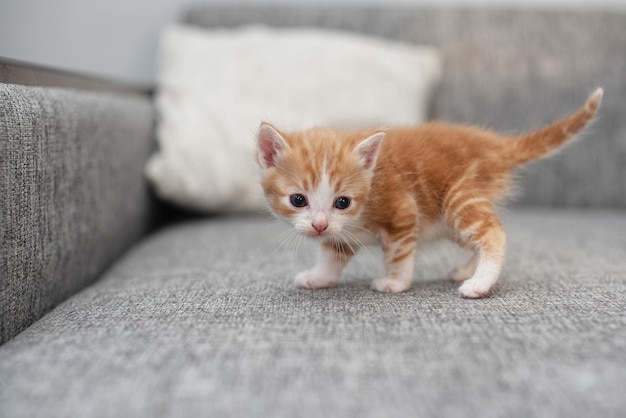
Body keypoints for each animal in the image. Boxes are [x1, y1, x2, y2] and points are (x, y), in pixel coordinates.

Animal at [254, 88, 600, 298]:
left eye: (343, 202)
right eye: (298, 200)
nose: (319, 225)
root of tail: (495, 144)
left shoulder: (403, 212)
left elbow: (399, 254)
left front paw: (394, 282)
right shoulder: (343, 233)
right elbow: (331, 253)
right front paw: (320, 276)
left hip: (457, 198)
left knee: (493, 232)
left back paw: (479, 283)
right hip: (445, 222)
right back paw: (465, 270)